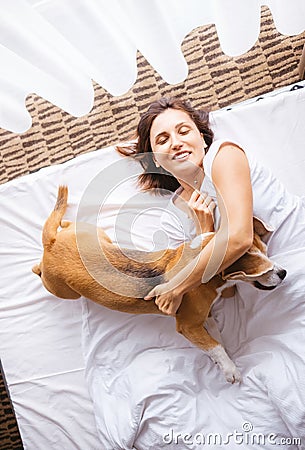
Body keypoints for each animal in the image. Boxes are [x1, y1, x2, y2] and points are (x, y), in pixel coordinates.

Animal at [33, 186, 284, 384]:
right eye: (262, 270)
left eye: (266, 251)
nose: (283, 273)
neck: (202, 255)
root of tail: (51, 243)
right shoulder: (187, 325)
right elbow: (215, 345)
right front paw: (230, 369)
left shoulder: (204, 316)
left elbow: (213, 336)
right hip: (62, 289)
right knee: (40, 270)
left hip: (96, 234)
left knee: (67, 225)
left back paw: (65, 223)